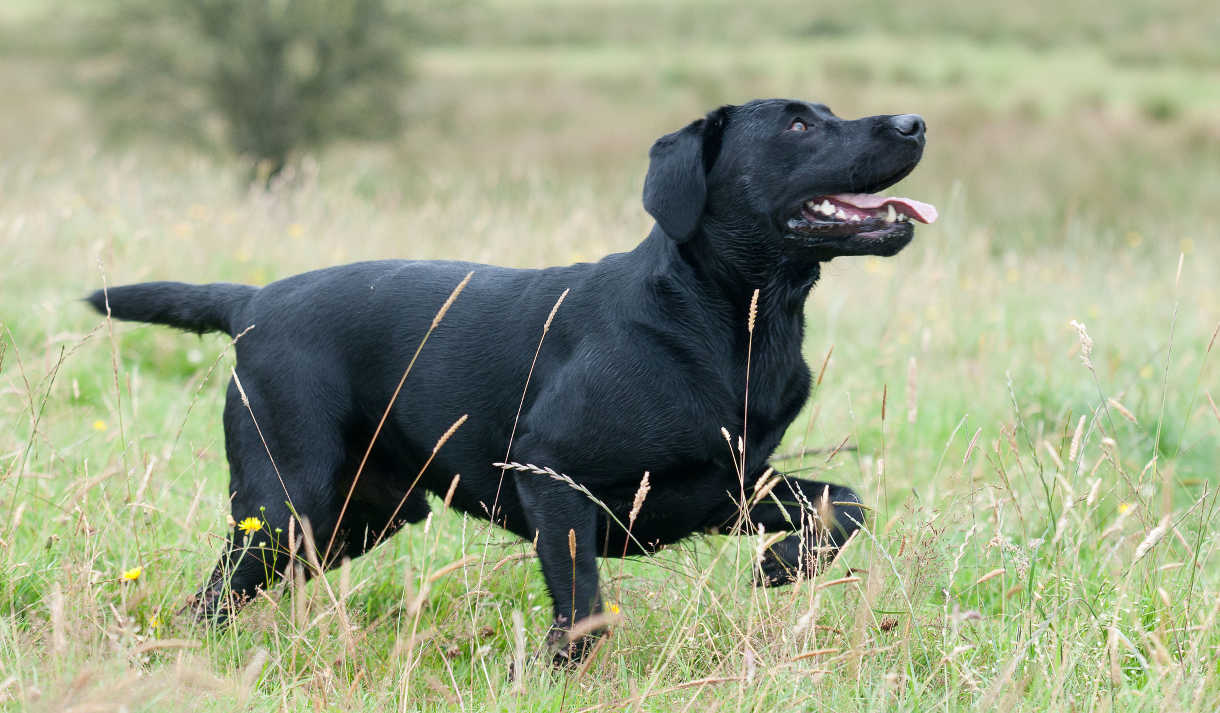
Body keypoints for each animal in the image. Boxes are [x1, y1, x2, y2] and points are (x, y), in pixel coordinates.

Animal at [86, 98, 932, 664]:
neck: (736, 324)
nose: (914, 122)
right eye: (798, 126)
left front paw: (783, 565)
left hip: (359, 518)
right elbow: (584, 605)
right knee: (211, 595)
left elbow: (846, 502)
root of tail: (253, 303)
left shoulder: (728, 485)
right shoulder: (553, 474)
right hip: (287, 505)